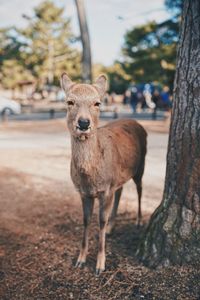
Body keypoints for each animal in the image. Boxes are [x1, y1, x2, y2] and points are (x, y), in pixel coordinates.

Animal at [60, 74, 147, 276]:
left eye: (97, 103)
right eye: (70, 101)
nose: (84, 123)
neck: (90, 178)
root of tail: (138, 123)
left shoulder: (105, 189)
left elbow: (100, 220)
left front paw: (100, 265)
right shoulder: (83, 192)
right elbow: (86, 220)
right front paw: (80, 259)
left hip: (141, 166)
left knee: (139, 189)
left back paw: (138, 221)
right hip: (119, 177)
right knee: (121, 191)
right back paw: (111, 227)